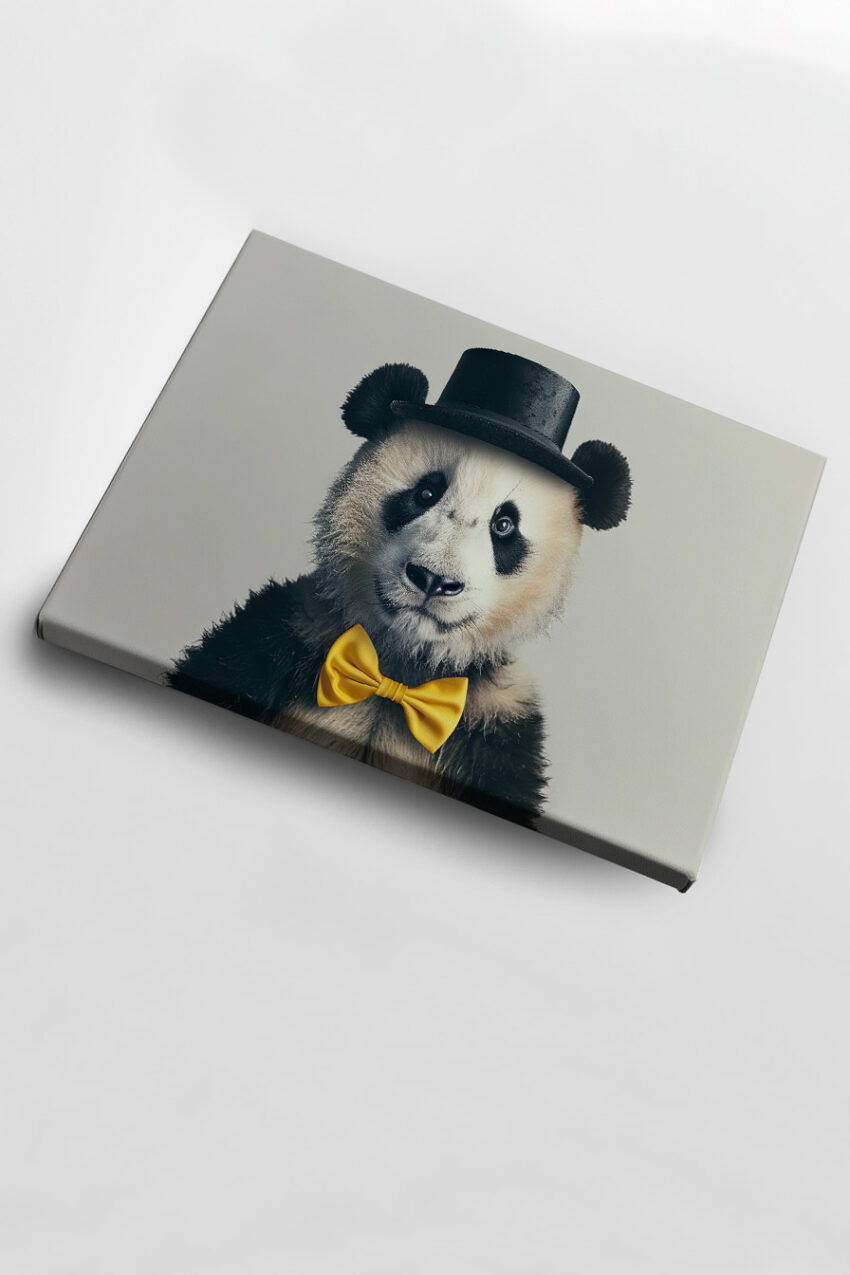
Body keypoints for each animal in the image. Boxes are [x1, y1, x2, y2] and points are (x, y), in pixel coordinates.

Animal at [165, 349, 631, 829]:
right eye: (425, 493)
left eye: (504, 525)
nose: (433, 579)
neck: (401, 667)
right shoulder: (279, 637)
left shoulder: (498, 729)